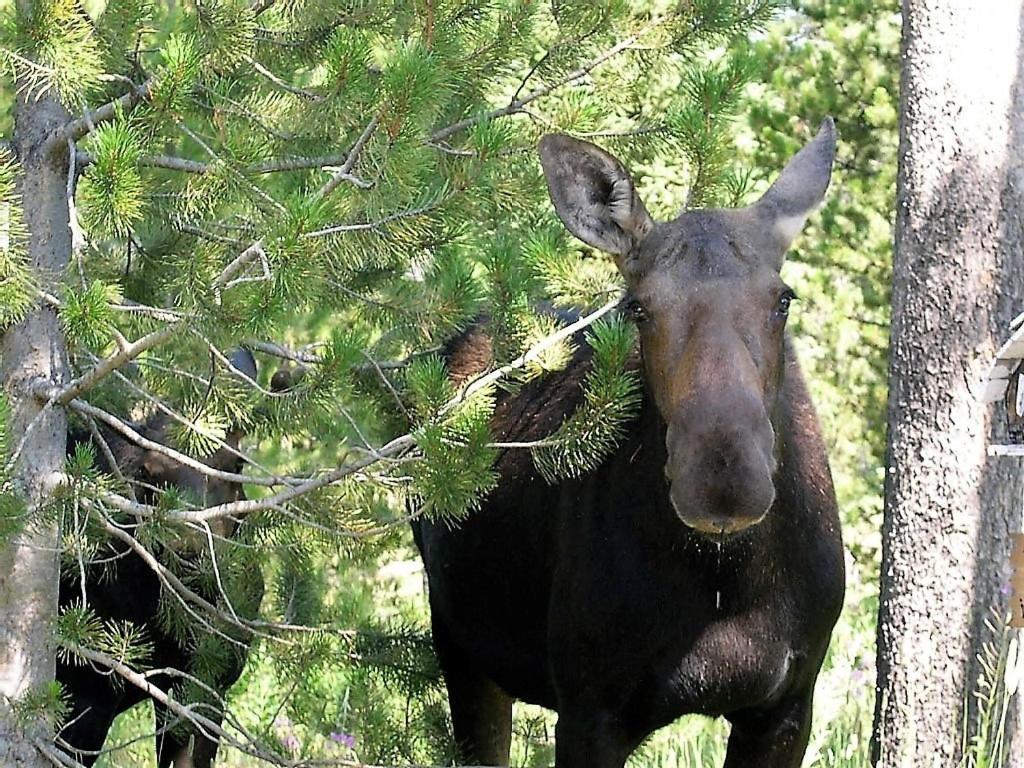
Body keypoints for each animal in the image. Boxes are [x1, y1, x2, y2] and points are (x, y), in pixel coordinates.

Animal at [411, 120, 843, 768]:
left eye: (782, 298)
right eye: (638, 307)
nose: (723, 480)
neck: (725, 585)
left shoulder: (788, 702)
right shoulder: (590, 707)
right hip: (461, 646)